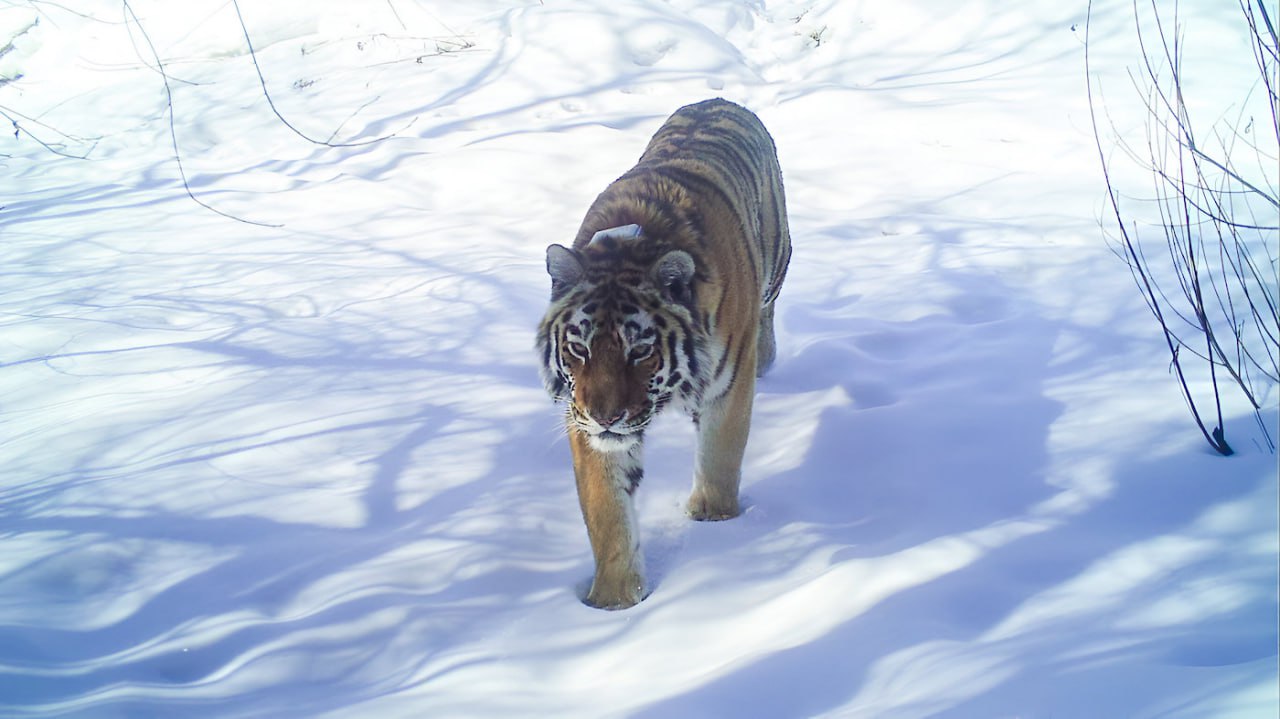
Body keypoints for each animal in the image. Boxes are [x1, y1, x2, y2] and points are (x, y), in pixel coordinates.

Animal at [532, 97, 788, 606]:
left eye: (640, 350)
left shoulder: (727, 387)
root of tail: (719, 100)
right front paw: (614, 602)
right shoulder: (581, 416)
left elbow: (720, 456)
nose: (606, 417)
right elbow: (606, 512)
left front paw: (713, 520)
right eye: (578, 348)